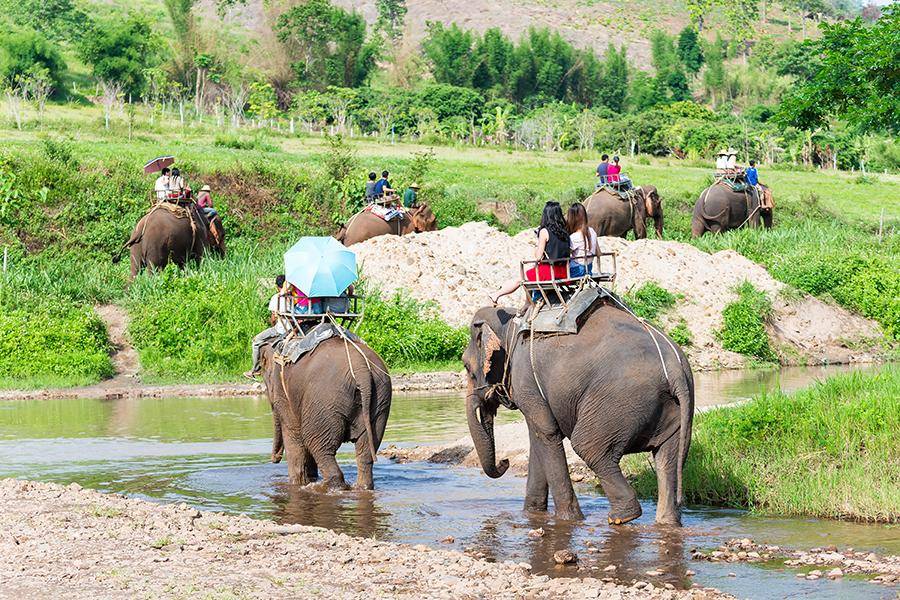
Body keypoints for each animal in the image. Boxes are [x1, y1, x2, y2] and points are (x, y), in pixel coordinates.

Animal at [260, 338, 392, 490]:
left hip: (325, 401)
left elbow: (294, 436)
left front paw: (297, 484)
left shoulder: (284, 395)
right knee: (365, 451)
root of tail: (362, 370)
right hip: (380, 398)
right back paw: (361, 487)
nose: (274, 459)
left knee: (317, 444)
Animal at [463, 302, 694, 525]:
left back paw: (621, 517)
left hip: (618, 401)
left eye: (466, 366)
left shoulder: (525, 378)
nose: (505, 462)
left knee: (588, 447)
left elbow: (546, 433)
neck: (511, 321)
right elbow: (537, 438)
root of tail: (674, 369)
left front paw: (568, 520)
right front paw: (532, 515)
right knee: (668, 458)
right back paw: (666, 522)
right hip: (675, 409)